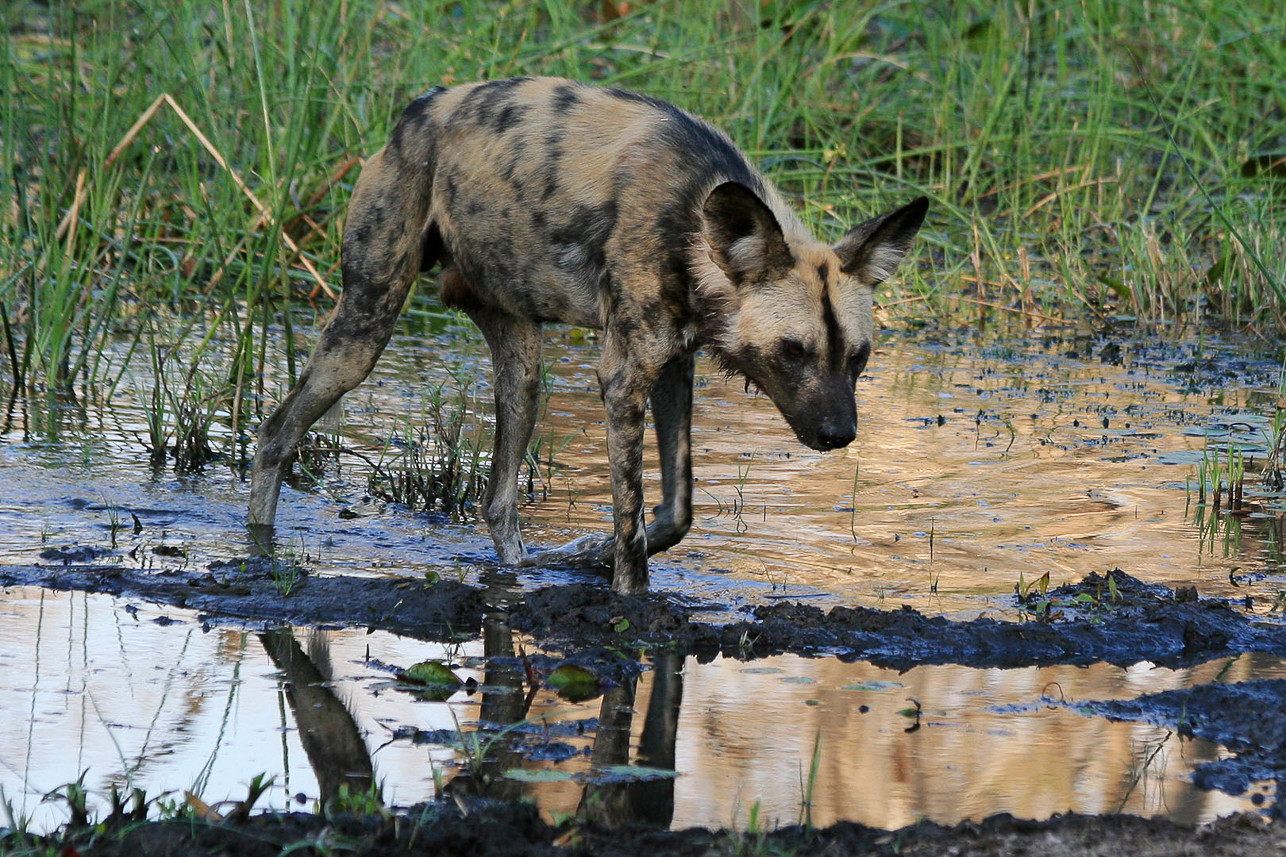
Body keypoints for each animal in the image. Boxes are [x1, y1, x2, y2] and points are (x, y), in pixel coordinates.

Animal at [248, 76, 925, 591]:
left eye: (858, 357)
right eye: (793, 351)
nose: (839, 435)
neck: (690, 222)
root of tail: (418, 110)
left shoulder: (672, 368)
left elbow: (674, 512)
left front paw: (588, 553)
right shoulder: (623, 379)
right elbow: (631, 520)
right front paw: (629, 593)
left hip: (522, 368)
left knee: (498, 504)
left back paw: (525, 570)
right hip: (365, 328)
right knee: (276, 433)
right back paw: (257, 550)